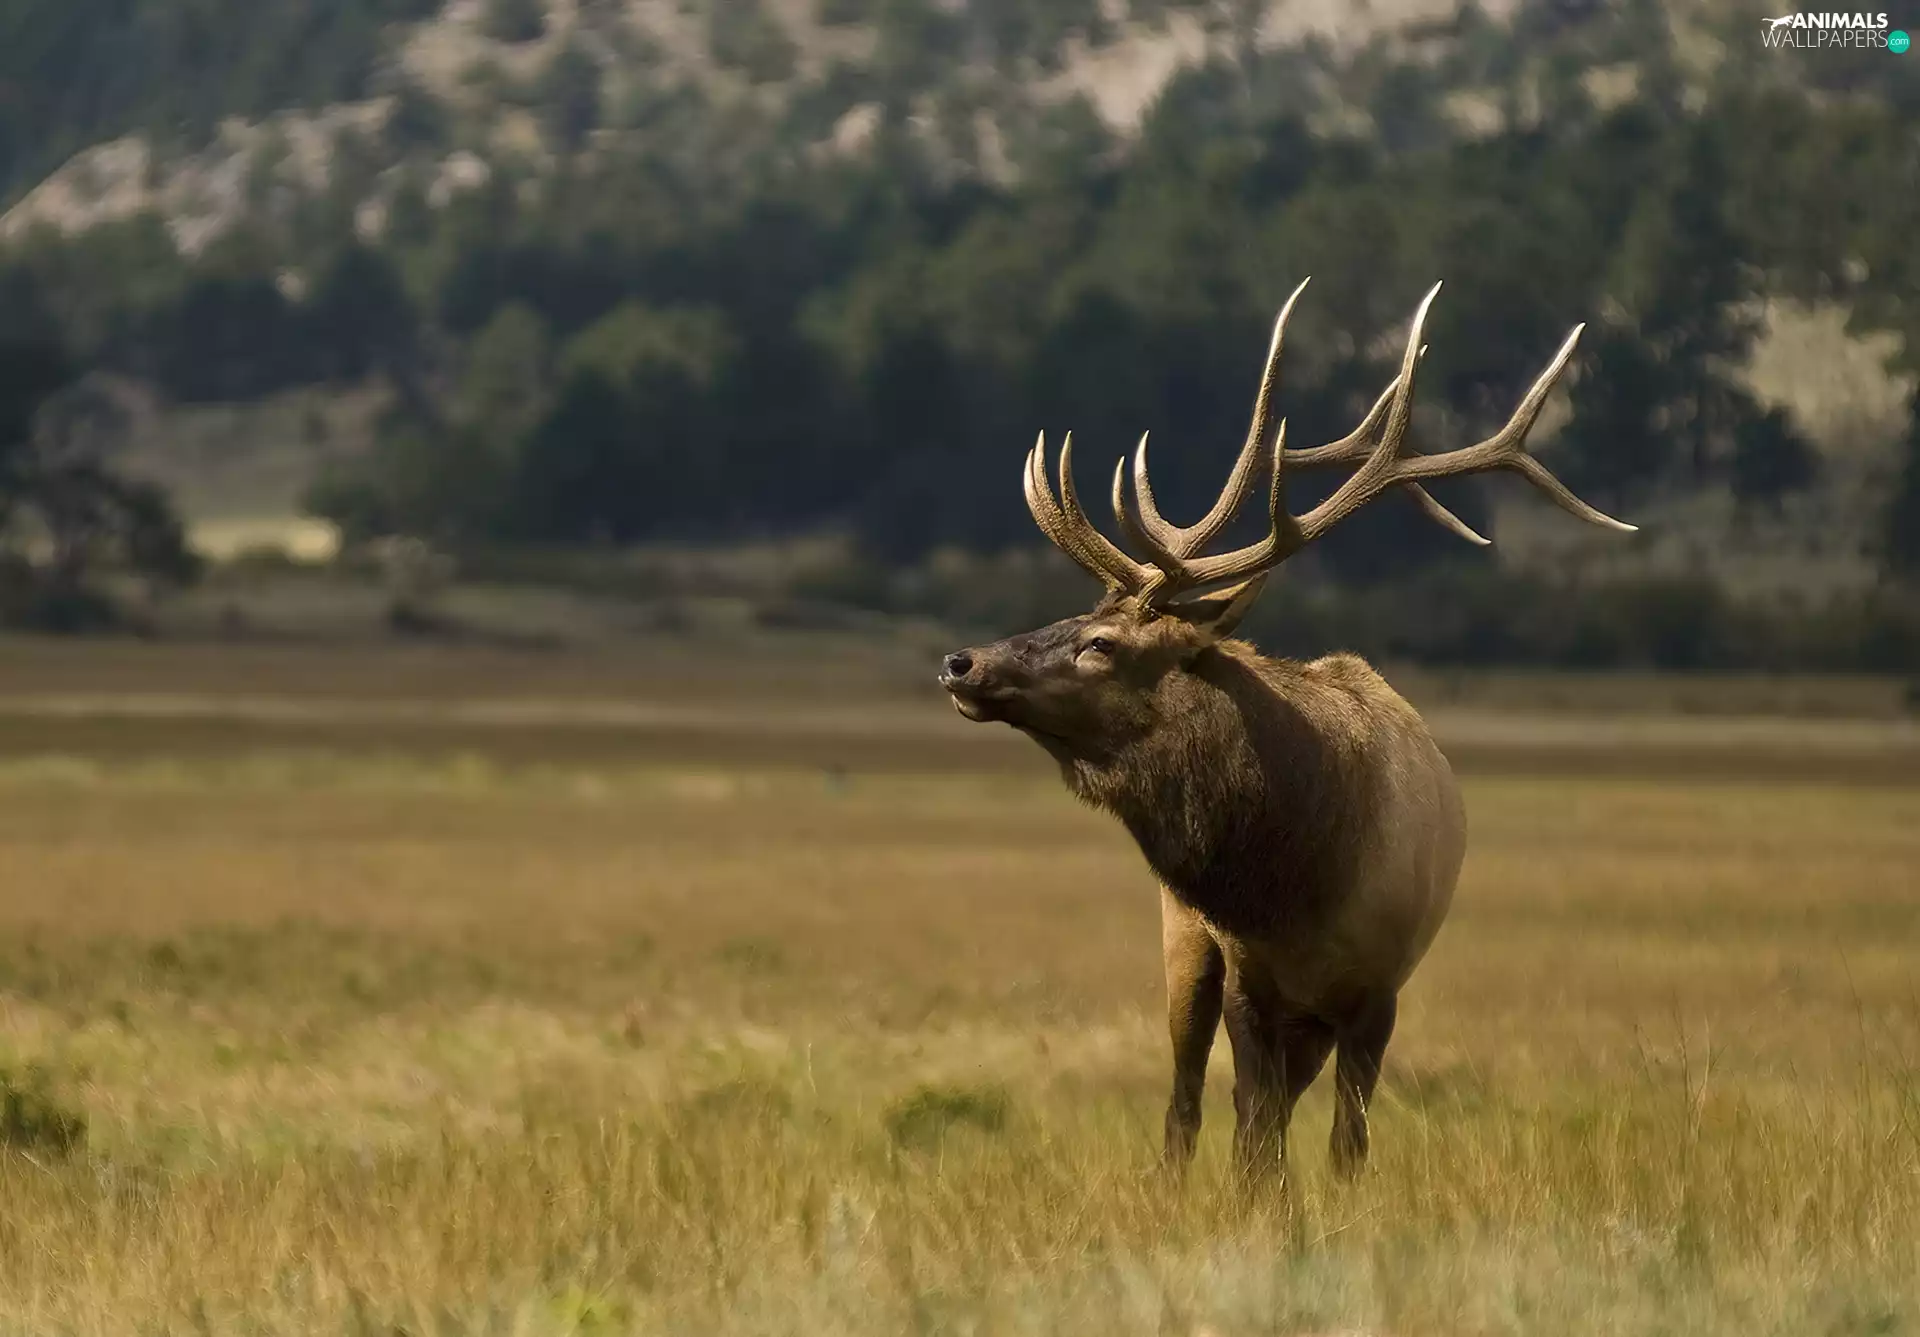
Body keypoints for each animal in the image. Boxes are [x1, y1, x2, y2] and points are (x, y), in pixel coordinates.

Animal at [938, 280, 1634, 1185]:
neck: (1297, 879)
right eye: (1075, 616)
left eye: (1102, 643)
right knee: (1186, 1103)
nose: (961, 661)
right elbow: (1253, 1133)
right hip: (1184, 944)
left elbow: (1344, 1143)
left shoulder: (1379, 989)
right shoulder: (1247, 977)